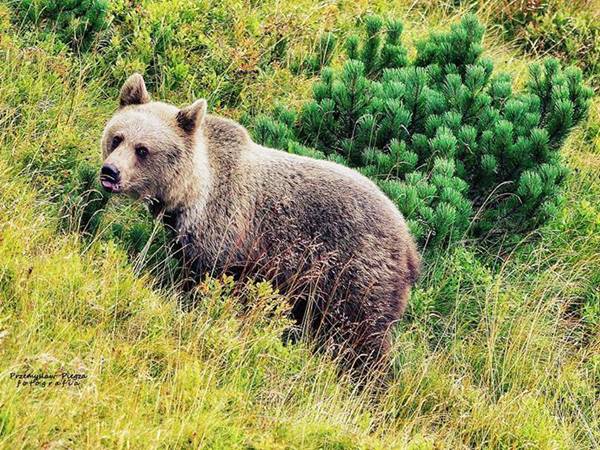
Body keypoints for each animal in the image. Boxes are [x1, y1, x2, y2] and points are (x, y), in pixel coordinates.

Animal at [101, 74, 420, 372]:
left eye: (142, 149)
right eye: (117, 138)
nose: (110, 172)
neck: (192, 193)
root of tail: (409, 244)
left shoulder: (225, 231)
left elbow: (204, 281)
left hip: (355, 275)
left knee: (362, 335)